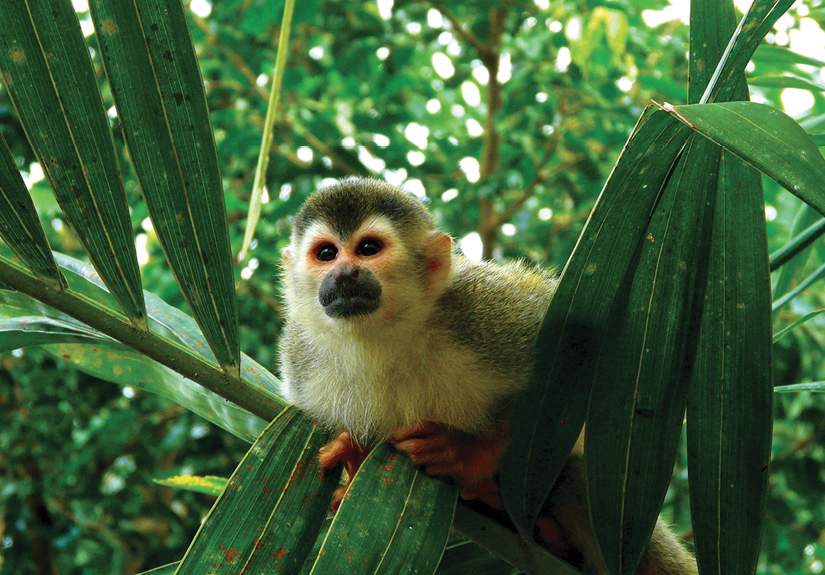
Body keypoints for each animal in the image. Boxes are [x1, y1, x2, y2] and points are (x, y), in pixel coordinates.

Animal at [276, 180, 696, 575]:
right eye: (326, 254)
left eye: (368, 248)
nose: (344, 274)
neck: (384, 337)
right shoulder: (302, 366)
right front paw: (356, 461)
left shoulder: (482, 313)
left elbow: (588, 348)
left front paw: (468, 454)